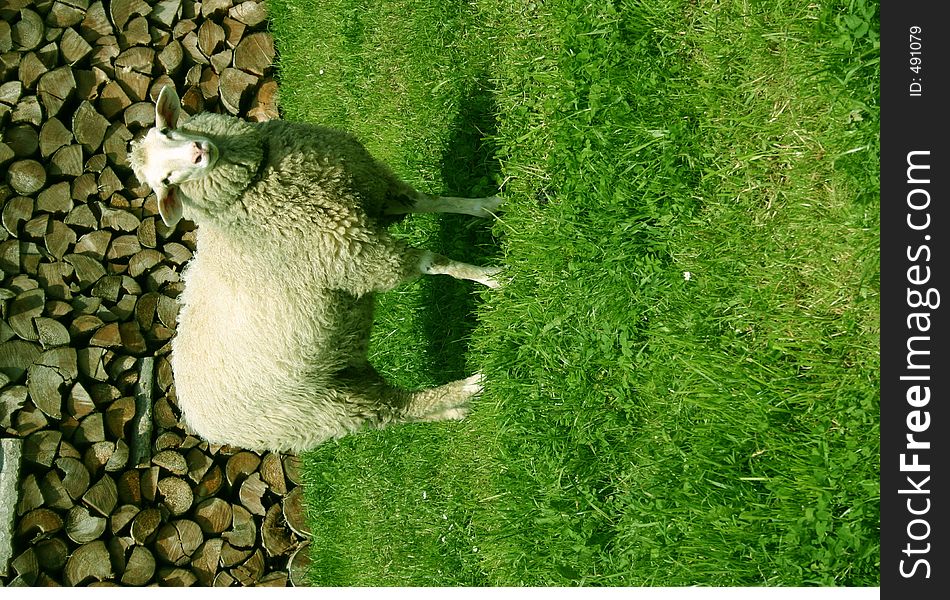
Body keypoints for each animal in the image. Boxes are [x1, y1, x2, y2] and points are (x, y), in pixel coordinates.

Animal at [130, 86, 510, 452]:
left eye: (167, 131)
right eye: (165, 182)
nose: (199, 151)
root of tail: (197, 421)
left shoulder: (373, 188)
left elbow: (432, 201)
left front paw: (487, 205)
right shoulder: (357, 255)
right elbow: (436, 262)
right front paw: (494, 277)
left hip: (342, 376)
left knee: (398, 406)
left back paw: (452, 410)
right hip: (324, 409)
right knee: (396, 409)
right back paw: (470, 388)